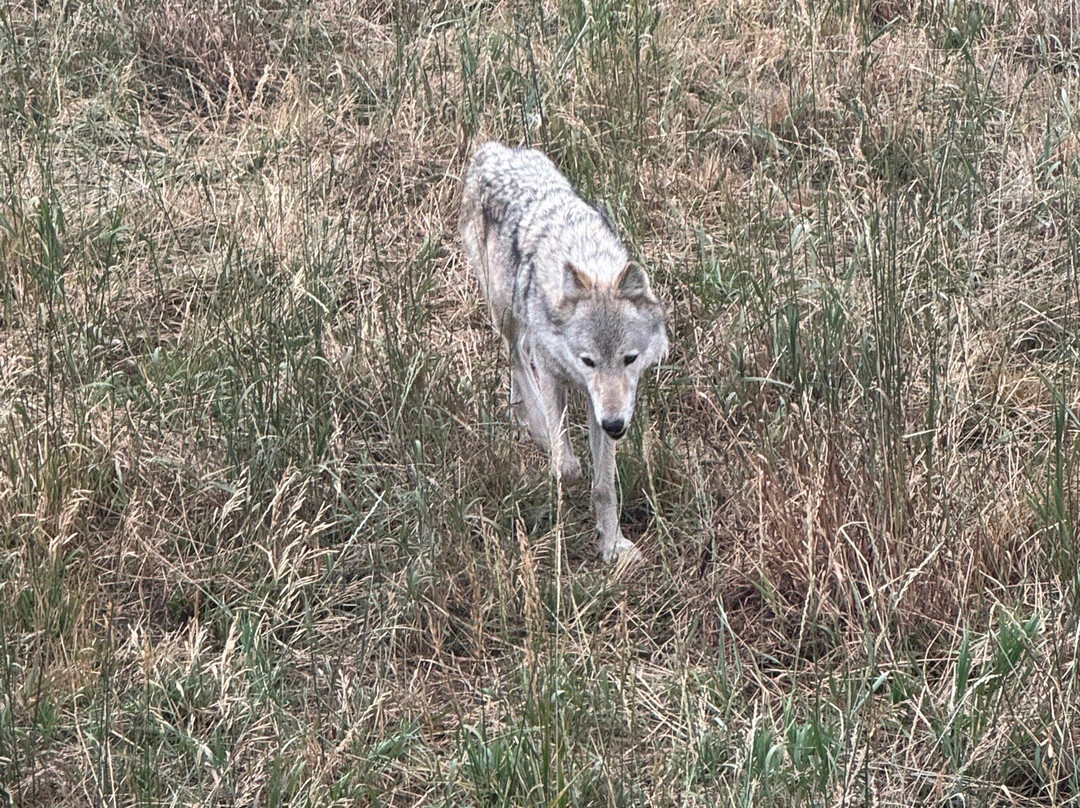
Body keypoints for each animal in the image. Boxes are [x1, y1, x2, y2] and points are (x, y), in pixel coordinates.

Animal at [459, 142, 668, 561]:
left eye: (630, 359)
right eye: (588, 360)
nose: (616, 426)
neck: (584, 255)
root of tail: (494, 150)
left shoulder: (601, 405)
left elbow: (605, 486)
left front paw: (612, 545)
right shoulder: (556, 375)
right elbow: (568, 466)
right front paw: (558, 455)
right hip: (503, 310)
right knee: (516, 353)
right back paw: (536, 424)